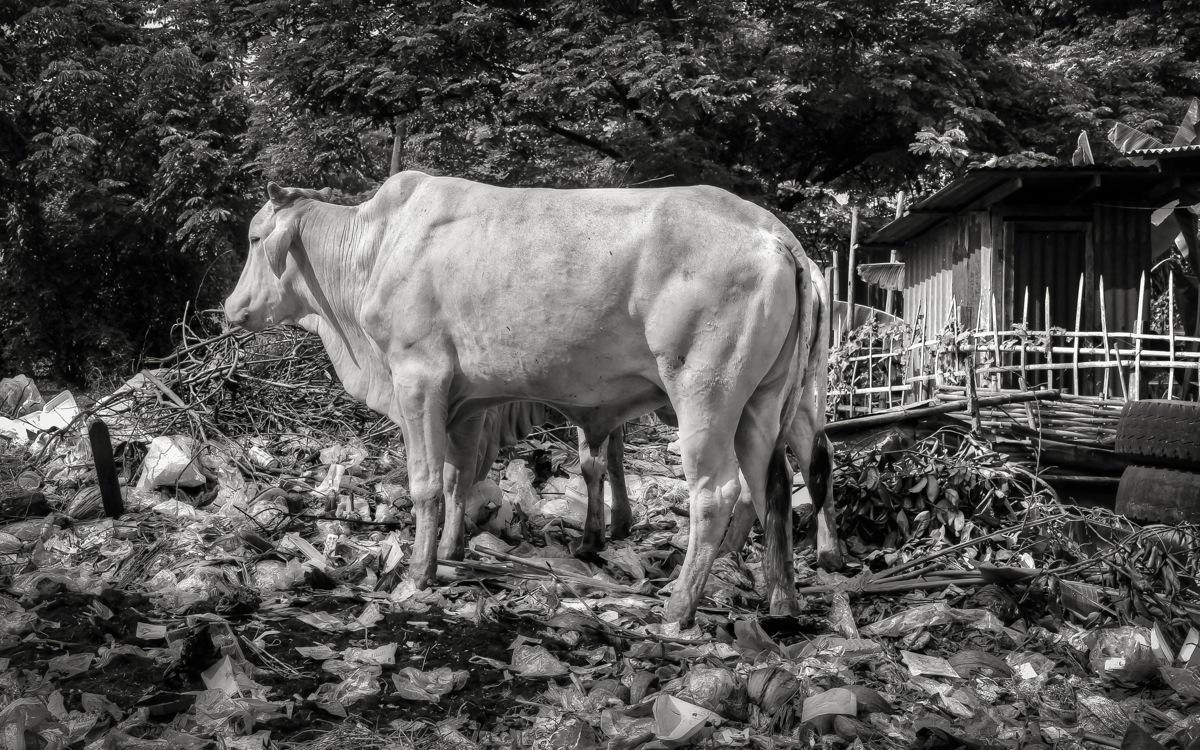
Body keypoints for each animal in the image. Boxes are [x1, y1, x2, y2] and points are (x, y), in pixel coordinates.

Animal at [225, 174, 835, 619]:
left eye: (254, 239)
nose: (232, 309)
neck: (375, 247)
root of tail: (775, 234)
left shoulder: (418, 377)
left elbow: (426, 483)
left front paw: (418, 573)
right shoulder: (465, 399)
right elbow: (458, 478)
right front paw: (451, 551)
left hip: (705, 393)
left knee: (718, 491)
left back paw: (680, 606)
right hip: (762, 401)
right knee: (774, 483)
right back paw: (782, 598)